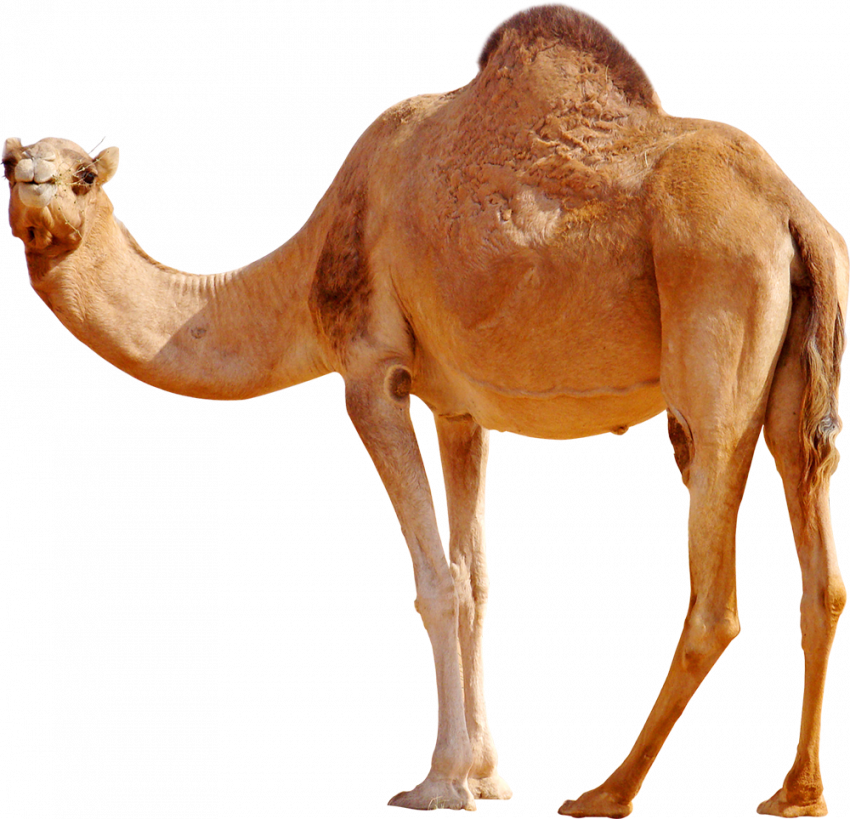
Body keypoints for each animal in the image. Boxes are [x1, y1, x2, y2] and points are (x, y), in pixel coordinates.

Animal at [4, 2, 848, 816]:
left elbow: (437, 580)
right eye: (12, 164)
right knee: (820, 564)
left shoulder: (373, 370)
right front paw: (486, 775)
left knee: (716, 586)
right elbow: (473, 577)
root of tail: (793, 214)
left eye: (84, 175)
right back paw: (795, 795)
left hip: (713, 323)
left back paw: (606, 793)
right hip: (797, 378)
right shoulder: (459, 408)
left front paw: (440, 784)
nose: (37, 194)